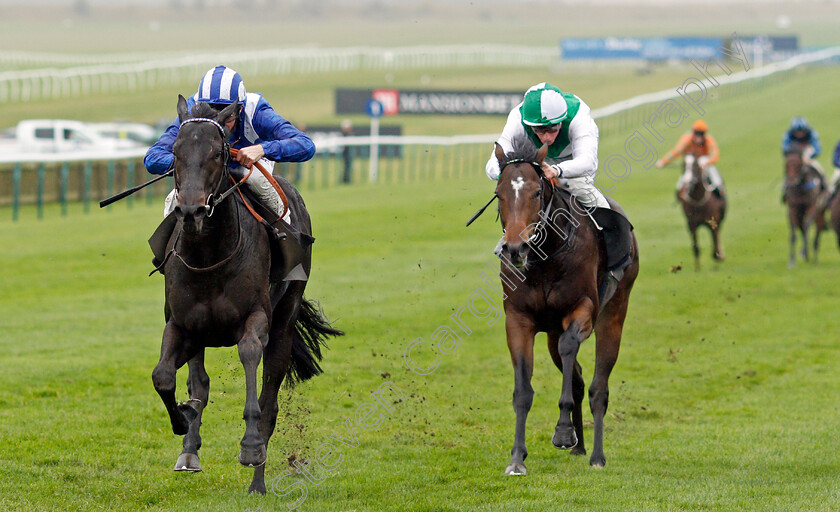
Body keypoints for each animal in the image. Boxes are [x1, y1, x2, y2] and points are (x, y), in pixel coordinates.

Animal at [150, 96, 342, 492]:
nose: (190, 209)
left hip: (285, 320)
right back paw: (189, 449)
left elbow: (251, 359)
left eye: (218, 153)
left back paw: (258, 482)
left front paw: (251, 445)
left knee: (271, 400)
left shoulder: (256, 318)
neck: (209, 256)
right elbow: (164, 377)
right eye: (175, 151)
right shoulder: (182, 325)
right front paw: (184, 418)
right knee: (198, 382)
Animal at [492, 141, 636, 476]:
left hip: (613, 315)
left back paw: (596, 454)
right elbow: (523, 390)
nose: (515, 249)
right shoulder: (518, 320)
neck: (545, 259)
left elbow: (572, 347)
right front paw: (517, 458)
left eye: (536, 192)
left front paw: (563, 431)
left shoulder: (582, 310)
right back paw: (580, 447)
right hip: (551, 333)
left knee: (598, 387)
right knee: (579, 379)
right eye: (500, 194)